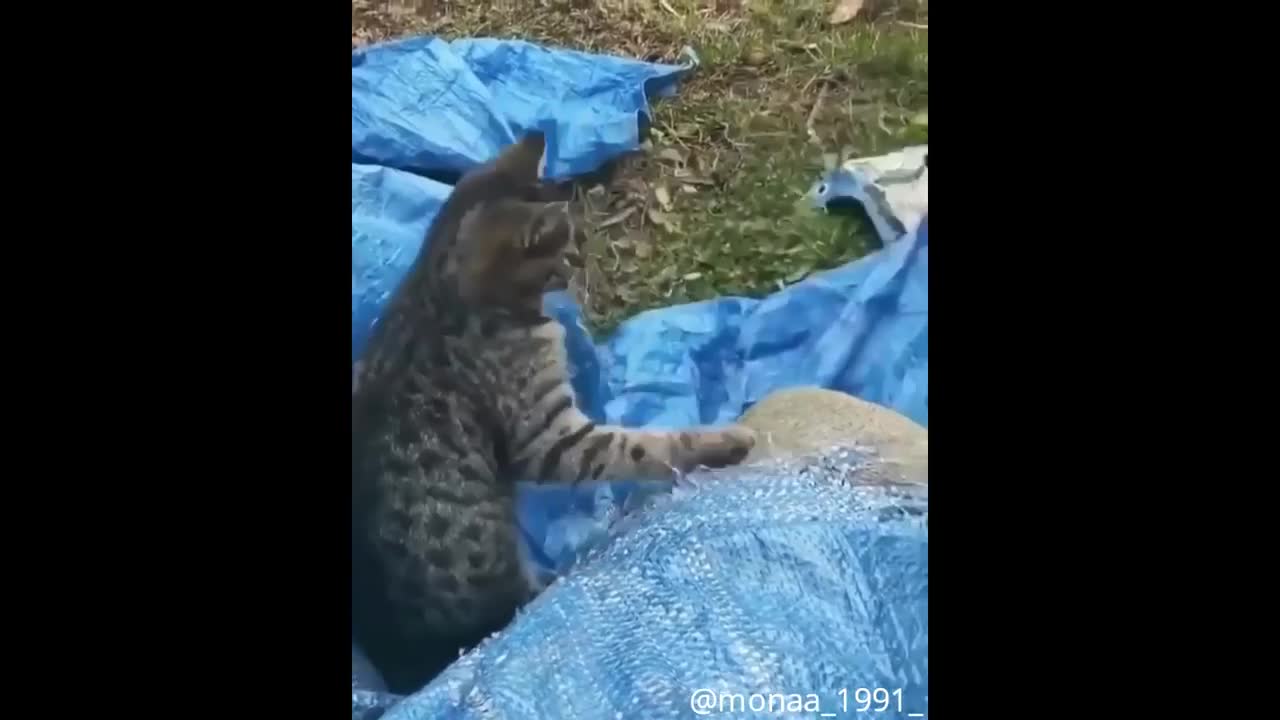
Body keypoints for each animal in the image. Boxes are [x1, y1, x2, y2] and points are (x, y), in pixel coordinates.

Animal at [350, 130, 757, 691]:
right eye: (566, 245)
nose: (583, 263)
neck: (440, 287)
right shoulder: (548, 437)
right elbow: (638, 447)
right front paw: (720, 440)